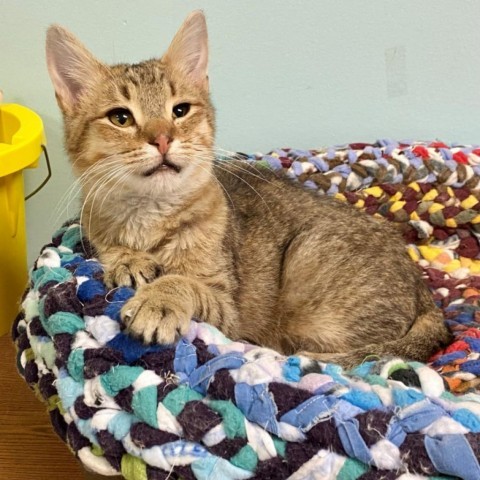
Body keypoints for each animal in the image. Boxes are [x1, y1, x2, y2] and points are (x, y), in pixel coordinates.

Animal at [44, 10, 450, 368]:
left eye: (180, 110)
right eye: (120, 117)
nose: (162, 139)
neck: (149, 214)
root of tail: (424, 294)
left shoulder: (227, 312)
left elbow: (185, 284)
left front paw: (160, 298)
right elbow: (113, 248)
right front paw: (127, 260)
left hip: (311, 274)